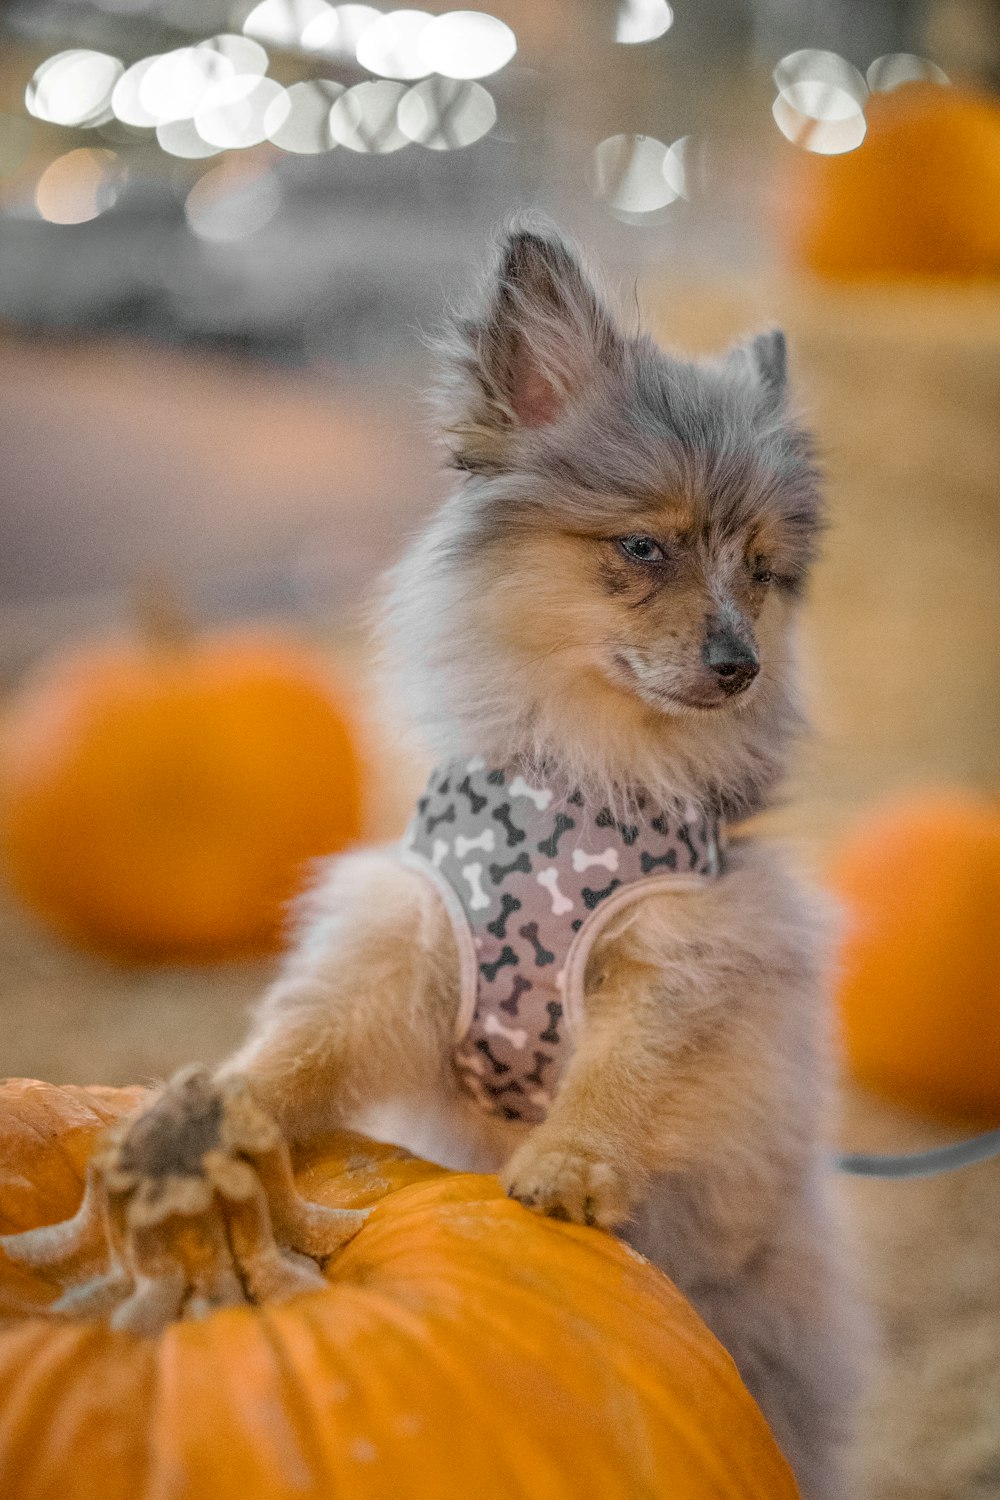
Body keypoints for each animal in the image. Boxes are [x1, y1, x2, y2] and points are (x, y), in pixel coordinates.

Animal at [166, 228, 869, 1494]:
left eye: (760, 570)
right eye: (642, 548)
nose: (740, 663)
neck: (578, 778)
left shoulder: (687, 961)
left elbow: (622, 1073)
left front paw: (573, 1165)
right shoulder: (403, 946)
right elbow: (307, 1040)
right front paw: (228, 1106)